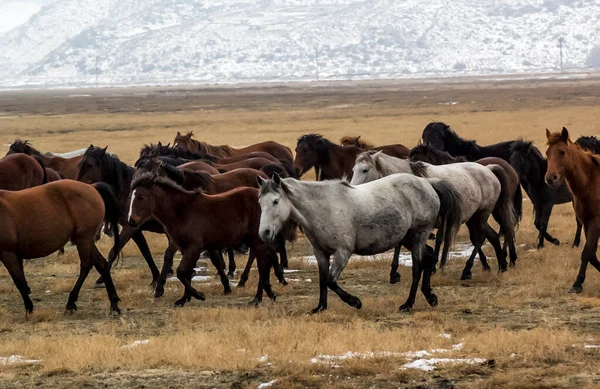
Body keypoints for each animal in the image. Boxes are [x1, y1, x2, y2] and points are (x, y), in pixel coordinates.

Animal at [0, 180, 120, 314]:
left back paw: (71, 302)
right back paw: (114, 303)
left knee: (86, 266)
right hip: (85, 240)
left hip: (83, 239)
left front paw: (29, 308)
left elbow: (18, 281)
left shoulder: (7, 253)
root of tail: (91, 187)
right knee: (101, 264)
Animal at [129, 172, 278, 306]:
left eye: (141, 197)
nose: (131, 221)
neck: (181, 211)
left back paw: (258, 298)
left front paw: (198, 295)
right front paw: (184, 299)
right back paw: (268, 293)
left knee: (262, 262)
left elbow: (181, 272)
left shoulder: (194, 247)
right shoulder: (185, 248)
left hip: (256, 239)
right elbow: (186, 272)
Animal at [256, 173, 460, 312]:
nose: (264, 233)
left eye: (275, 201)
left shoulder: (343, 252)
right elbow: (322, 280)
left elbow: (330, 281)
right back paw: (430, 296)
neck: (323, 208)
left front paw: (355, 302)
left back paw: (408, 304)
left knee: (418, 267)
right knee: (428, 256)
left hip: (418, 235)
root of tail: (427, 183)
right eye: (260, 203)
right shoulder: (320, 253)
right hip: (408, 238)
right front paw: (320, 307)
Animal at [352, 150, 516, 280]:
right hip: (474, 218)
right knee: (492, 236)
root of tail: (488, 169)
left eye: (365, 170)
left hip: (481, 215)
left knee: (482, 237)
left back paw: (468, 269)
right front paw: (394, 272)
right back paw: (502, 265)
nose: (353, 188)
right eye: (354, 169)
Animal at [548, 128, 600, 294]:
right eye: (547, 153)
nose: (550, 178)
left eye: (562, 152)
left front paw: (577, 283)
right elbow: (591, 254)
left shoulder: (596, 222)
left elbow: (587, 252)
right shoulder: (587, 222)